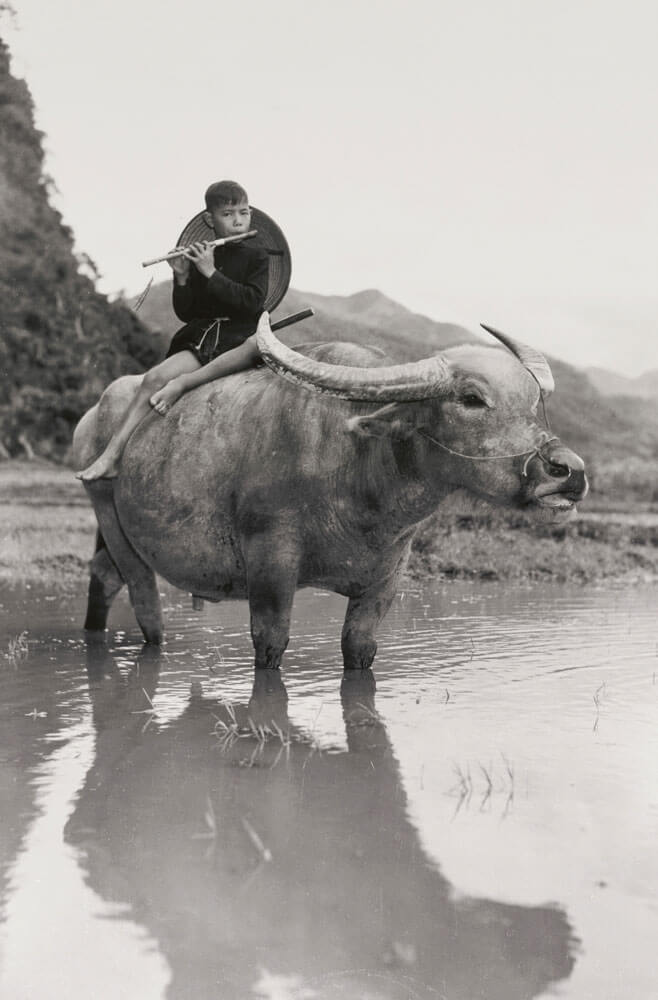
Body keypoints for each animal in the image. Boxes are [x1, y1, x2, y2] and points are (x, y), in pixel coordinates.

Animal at [73, 314, 587, 664]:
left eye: (535, 404)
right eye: (471, 398)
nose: (569, 471)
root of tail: (92, 416)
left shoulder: (386, 580)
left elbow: (360, 649)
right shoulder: (271, 565)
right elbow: (271, 645)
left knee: (103, 576)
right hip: (112, 521)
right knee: (144, 603)